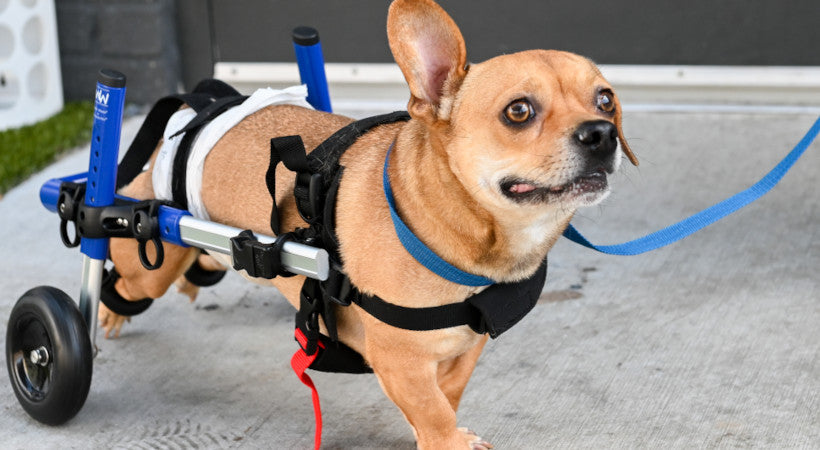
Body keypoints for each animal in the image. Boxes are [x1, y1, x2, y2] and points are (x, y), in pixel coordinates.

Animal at [102, 0, 636, 446]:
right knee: (120, 269)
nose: (602, 133)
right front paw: (445, 440)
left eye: (607, 100)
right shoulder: (401, 363)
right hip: (148, 261)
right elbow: (433, 411)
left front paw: (437, 430)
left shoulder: (464, 349)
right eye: (519, 111)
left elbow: (446, 396)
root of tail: (204, 110)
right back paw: (109, 307)